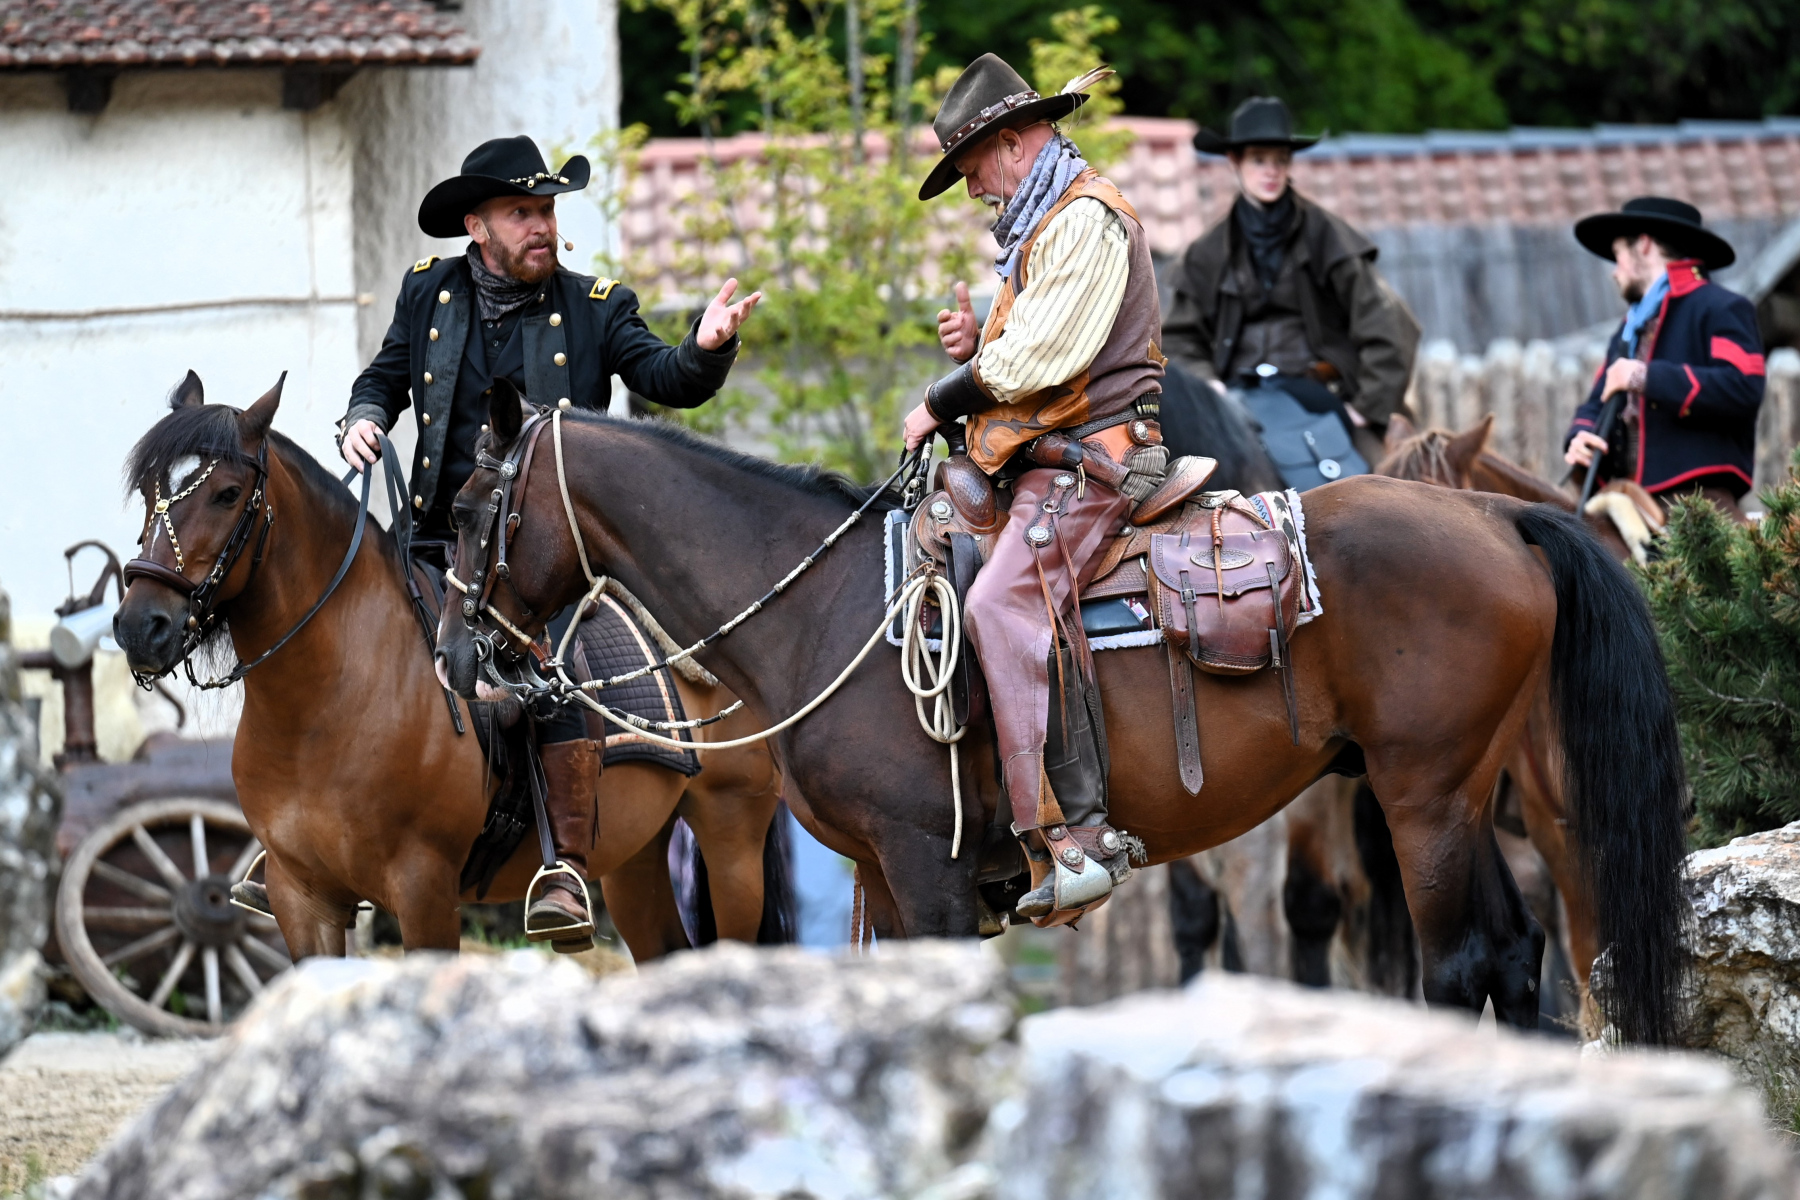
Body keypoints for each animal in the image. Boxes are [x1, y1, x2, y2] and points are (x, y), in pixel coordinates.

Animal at [110, 372, 789, 961]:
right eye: (148, 492)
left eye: (227, 494)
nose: (140, 627)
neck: (323, 704)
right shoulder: (301, 898)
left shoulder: (424, 893)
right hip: (635, 857)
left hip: (731, 840)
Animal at [436, 390, 1691, 1043]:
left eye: (476, 504)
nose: (456, 655)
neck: (830, 610)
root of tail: (1494, 517)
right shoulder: (885, 873)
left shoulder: (929, 867)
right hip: (1463, 794)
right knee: (1515, 952)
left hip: (1424, 794)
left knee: (1467, 957)